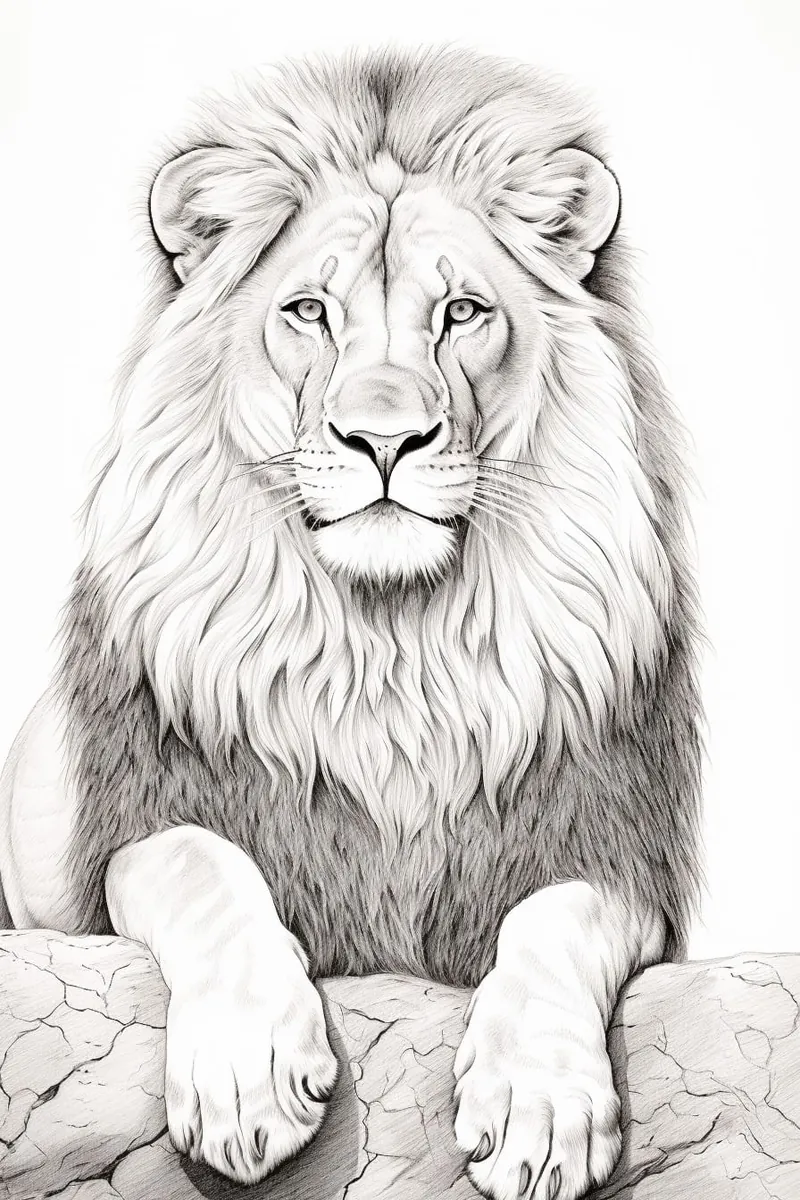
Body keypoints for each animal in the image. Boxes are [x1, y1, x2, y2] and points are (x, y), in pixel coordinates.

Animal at [0, 47, 701, 1200]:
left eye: (461, 312)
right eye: (307, 312)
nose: (384, 439)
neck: (388, 649)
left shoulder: (613, 847)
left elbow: (558, 916)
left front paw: (539, 1111)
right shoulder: (131, 833)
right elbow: (197, 860)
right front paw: (247, 1082)